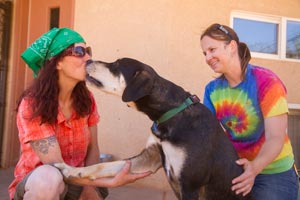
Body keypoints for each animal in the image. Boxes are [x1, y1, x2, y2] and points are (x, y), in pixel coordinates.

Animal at [55, 57, 253, 200]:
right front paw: (72, 170)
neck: (172, 113)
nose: (88, 60)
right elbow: (104, 165)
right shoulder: (149, 157)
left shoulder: (190, 185)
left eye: (116, 65)